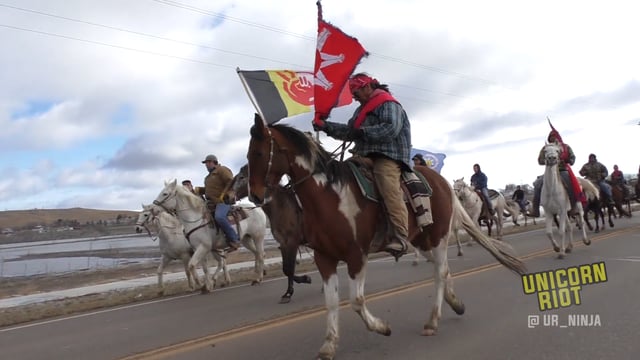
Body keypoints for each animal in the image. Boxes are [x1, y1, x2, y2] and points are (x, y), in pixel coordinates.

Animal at [231, 164, 312, 304]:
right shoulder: (284, 245)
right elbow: (287, 269)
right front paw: (299, 284)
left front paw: (289, 292)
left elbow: (289, 268)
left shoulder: (292, 243)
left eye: (241, 177)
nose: (228, 196)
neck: (282, 207)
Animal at [245, 115, 524, 360]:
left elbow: (356, 301)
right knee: (441, 270)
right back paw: (455, 303)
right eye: (247, 156)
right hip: (421, 240)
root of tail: (443, 182)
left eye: (258, 153)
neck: (331, 196)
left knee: (440, 273)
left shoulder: (356, 256)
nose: (254, 195)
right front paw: (329, 345)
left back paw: (433, 321)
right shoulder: (324, 258)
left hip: (439, 236)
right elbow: (331, 302)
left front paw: (382, 327)